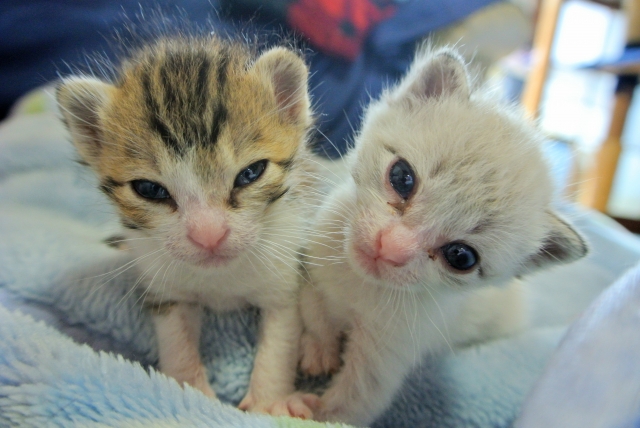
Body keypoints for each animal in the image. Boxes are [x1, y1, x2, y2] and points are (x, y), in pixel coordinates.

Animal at [59, 36, 318, 418]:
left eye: (251, 173)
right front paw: (188, 394)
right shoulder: (164, 286)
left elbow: (280, 340)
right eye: (149, 189)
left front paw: (270, 402)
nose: (208, 236)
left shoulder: (284, 277)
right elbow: (176, 339)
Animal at [298, 48, 588, 426]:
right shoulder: (315, 257)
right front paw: (319, 348)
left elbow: (357, 401)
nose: (389, 247)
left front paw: (308, 409)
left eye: (461, 257)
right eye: (402, 177)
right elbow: (312, 305)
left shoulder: (393, 349)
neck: (358, 285)